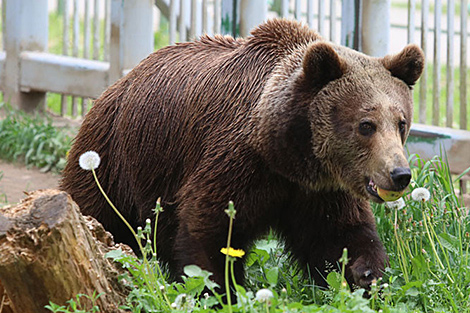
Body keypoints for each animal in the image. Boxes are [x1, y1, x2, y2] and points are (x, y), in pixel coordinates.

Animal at [60, 18, 424, 288]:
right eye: (366, 125)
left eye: (401, 122)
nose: (399, 174)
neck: (284, 151)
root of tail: (118, 83)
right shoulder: (236, 161)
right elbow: (209, 230)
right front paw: (220, 288)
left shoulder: (318, 190)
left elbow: (340, 235)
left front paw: (366, 274)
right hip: (117, 155)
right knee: (99, 210)